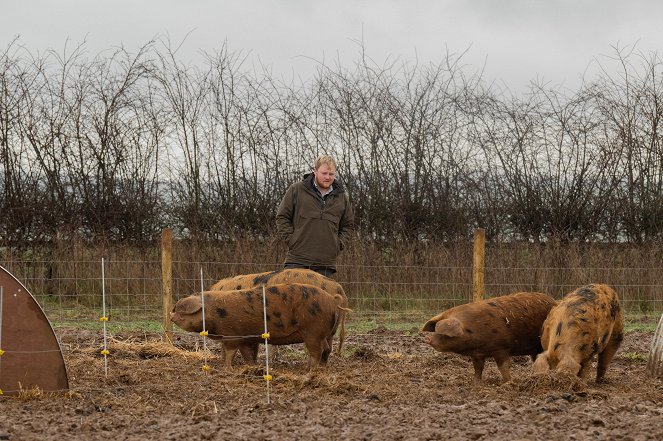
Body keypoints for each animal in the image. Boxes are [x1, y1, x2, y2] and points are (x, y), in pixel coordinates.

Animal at [169, 282, 350, 368]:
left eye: (180, 311)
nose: (170, 316)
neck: (214, 312)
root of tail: (332, 299)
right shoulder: (245, 337)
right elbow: (247, 353)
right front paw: (252, 366)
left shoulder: (231, 333)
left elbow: (230, 351)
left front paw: (226, 368)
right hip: (321, 333)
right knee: (326, 349)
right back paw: (319, 368)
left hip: (313, 331)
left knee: (317, 351)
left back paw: (309, 370)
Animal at [422, 290, 556, 380]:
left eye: (444, 333)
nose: (427, 338)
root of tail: (554, 301)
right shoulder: (477, 354)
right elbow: (478, 369)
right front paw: (476, 382)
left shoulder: (502, 348)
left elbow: (503, 366)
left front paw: (508, 381)